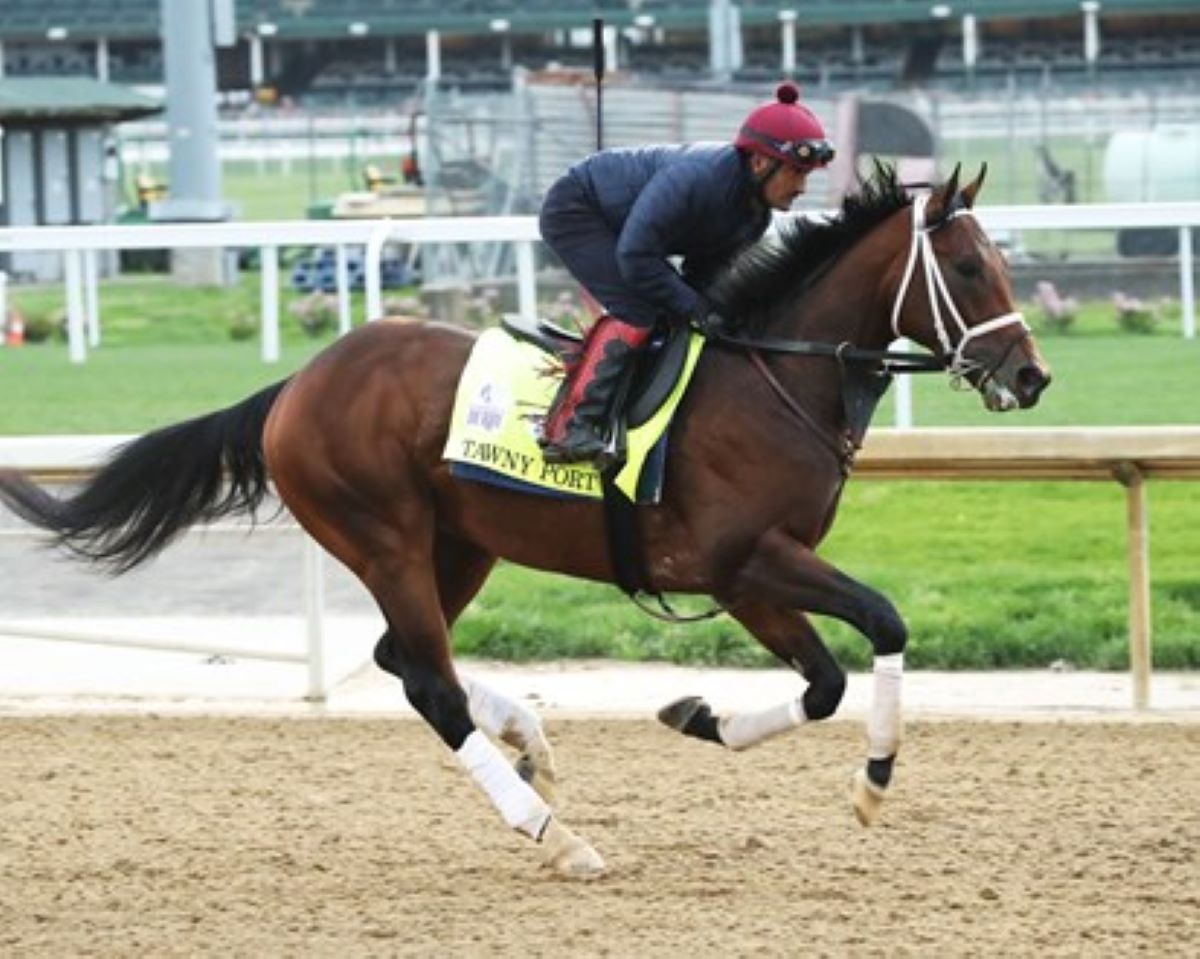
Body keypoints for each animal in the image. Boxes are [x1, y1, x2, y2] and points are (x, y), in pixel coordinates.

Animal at [0, 163, 1051, 878]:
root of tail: (295, 386)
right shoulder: (745, 558)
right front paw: (873, 782)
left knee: (405, 658)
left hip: (460, 542)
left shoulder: (747, 576)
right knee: (428, 681)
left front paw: (698, 713)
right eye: (968, 265)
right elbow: (880, 623)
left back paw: (533, 745)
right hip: (382, 532)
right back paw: (550, 829)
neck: (771, 378)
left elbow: (827, 679)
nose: (1032, 374)